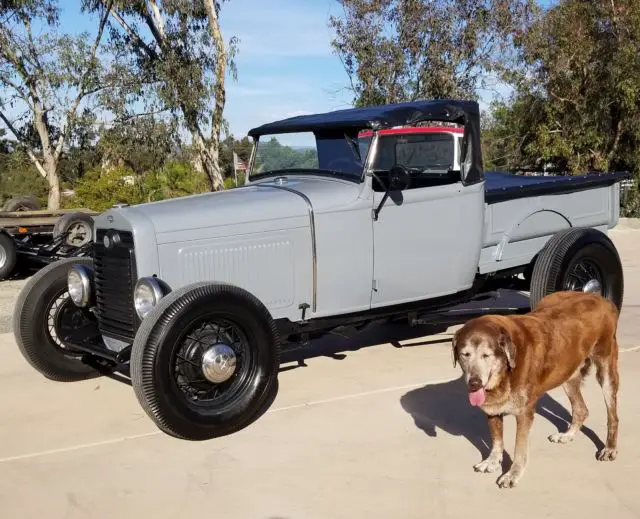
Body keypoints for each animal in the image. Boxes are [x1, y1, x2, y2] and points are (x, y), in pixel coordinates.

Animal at [450, 290, 620, 490]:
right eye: (465, 354)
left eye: (486, 355)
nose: (474, 383)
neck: (505, 371)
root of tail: (601, 298)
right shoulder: (492, 410)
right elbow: (497, 440)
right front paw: (492, 461)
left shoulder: (524, 414)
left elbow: (519, 448)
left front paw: (513, 474)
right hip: (567, 373)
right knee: (581, 409)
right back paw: (568, 435)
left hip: (606, 370)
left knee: (612, 416)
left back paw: (609, 448)